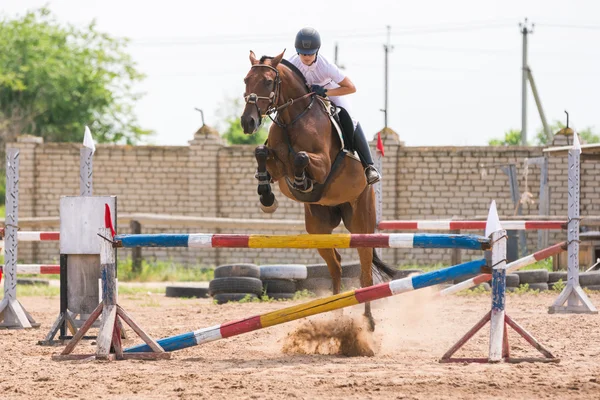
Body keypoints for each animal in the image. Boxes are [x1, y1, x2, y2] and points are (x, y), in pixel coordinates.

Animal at [241, 49, 396, 332]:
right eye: (246, 80)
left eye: (268, 82)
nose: (248, 122)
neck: (292, 119)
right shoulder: (277, 166)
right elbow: (261, 152)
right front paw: (267, 196)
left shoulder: (322, 164)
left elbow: (300, 157)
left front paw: (302, 182)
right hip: (318, 229)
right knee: (335, 266)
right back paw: (336, 318)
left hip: (361, 224)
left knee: (365, 273)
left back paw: (368, 322)